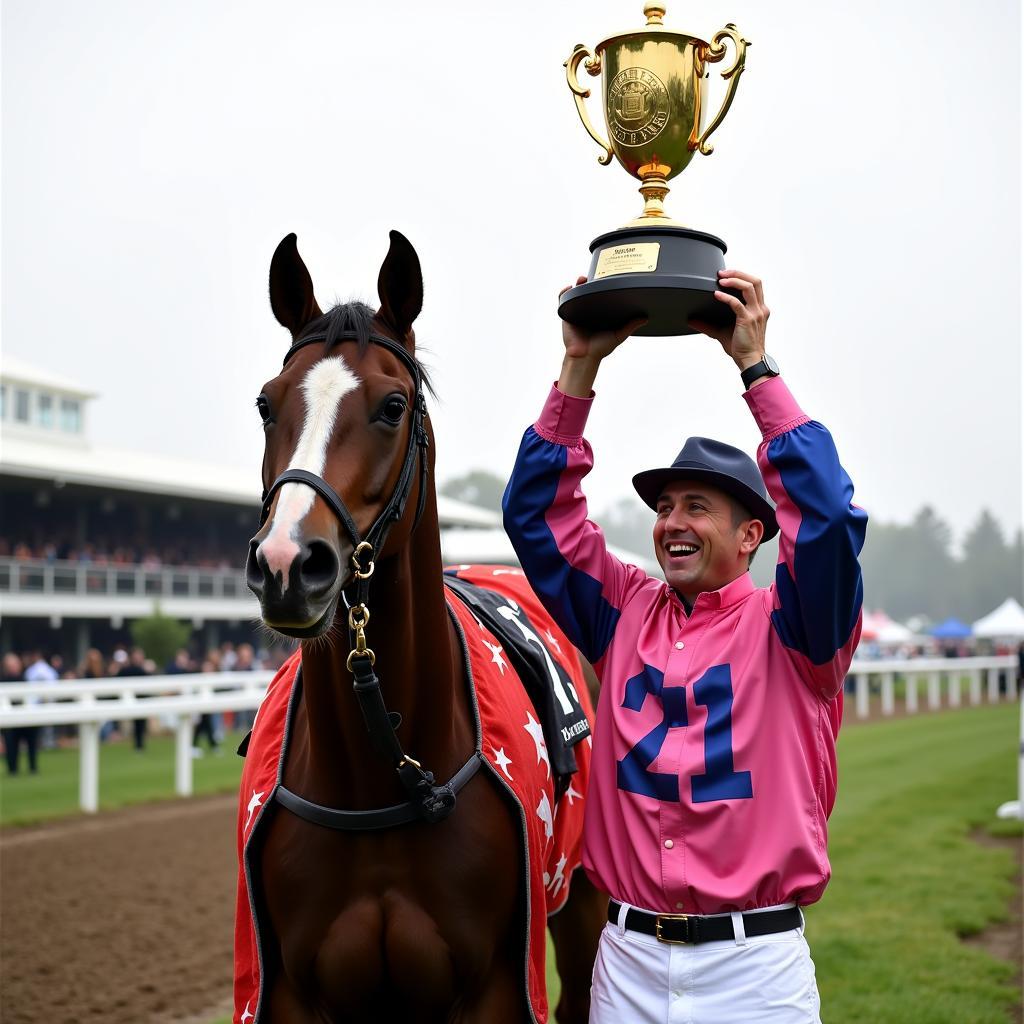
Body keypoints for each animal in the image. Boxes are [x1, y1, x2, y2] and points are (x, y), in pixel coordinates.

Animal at [237, 234, 606, 1024]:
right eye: (265, 403)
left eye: (392, 405)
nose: (287, 564)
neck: (383, 782)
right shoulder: (292, 993)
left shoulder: (493, 987)